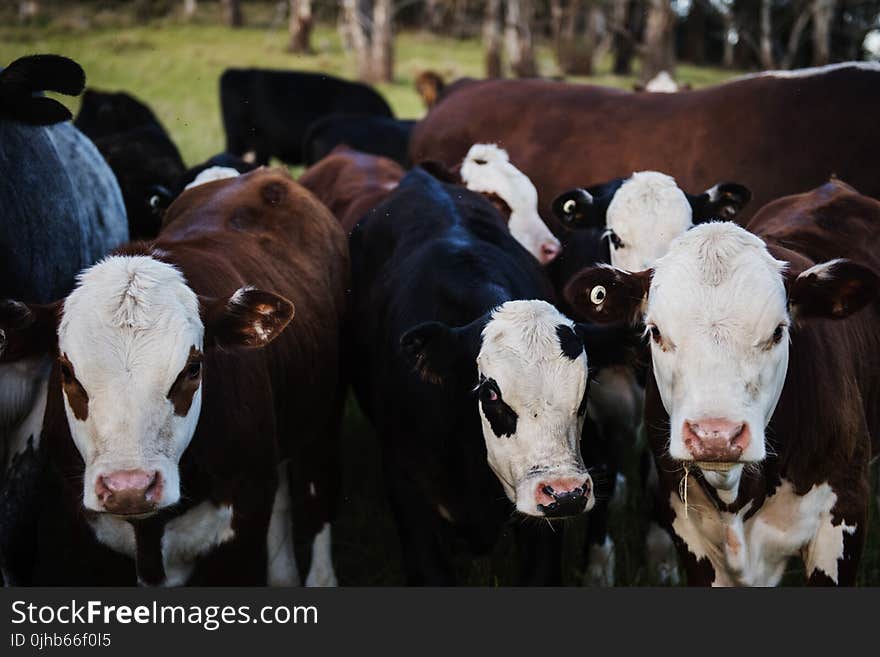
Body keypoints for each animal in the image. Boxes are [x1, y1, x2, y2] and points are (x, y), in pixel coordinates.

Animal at [0, 168, 348, 584]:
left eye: (193, 367)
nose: (129, 487)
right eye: (66, 372)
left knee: (317, 493)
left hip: (325, 419)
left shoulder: (244, 524)